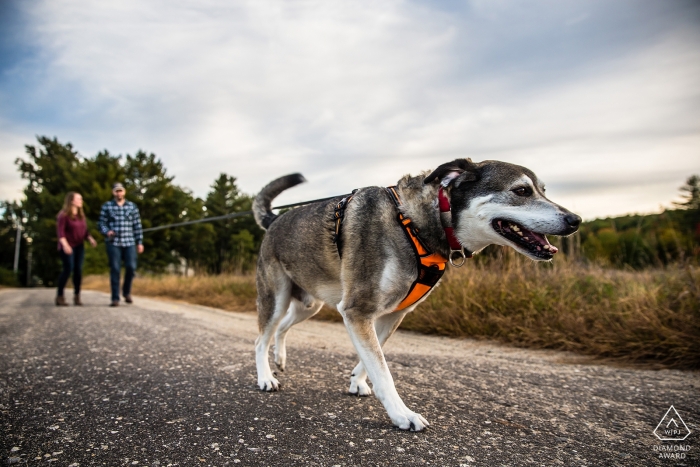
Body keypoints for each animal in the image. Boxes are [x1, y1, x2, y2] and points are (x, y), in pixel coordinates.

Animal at [250, 158, 580, 432]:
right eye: (521, 191)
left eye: (543, 191)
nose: (575, 220)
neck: (421, 224)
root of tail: (274, 220)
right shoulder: (358, 311)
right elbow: (383, 371)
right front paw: (401, 414)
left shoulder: (392, 314)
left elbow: (373, 359)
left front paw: (357, 382)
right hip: (276, 298)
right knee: (261, 339)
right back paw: (266, 377)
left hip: (310, 304)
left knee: (281, 329)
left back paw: (279, 358)